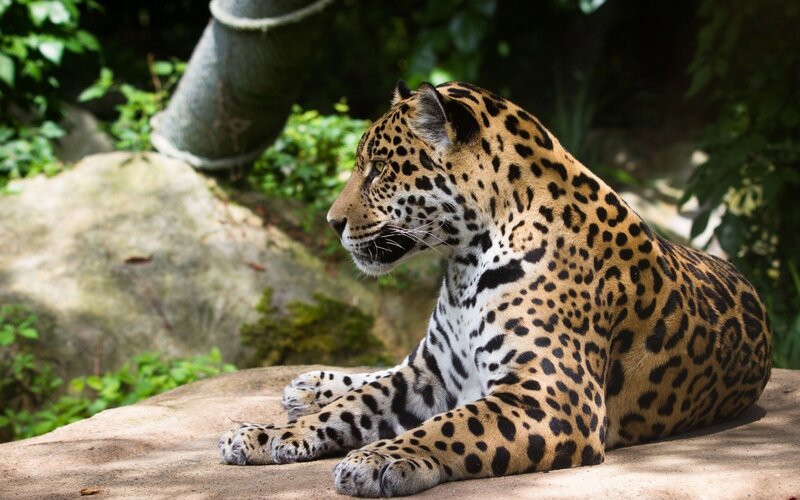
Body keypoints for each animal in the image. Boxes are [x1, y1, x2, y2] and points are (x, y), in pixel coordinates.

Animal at [219, 80, 772, 497]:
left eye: (378, 170)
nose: (332, 222)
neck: (464, 262)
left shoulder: (551, 397)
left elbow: (449, 426)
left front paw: (377, 459)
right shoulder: (431, 374)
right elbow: (353, 407)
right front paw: (267, 435)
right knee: (378, 372)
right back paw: (310, 386)